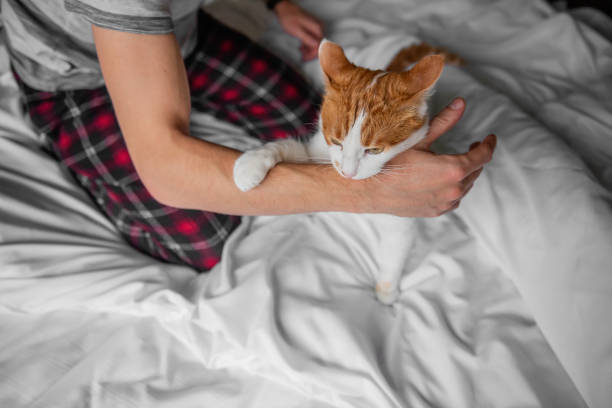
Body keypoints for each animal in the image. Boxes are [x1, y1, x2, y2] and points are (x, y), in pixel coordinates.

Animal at [232, 39, 456, 304]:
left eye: (375, 150)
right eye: (336, 141)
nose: (348, 173)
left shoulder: (403, 213)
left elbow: (395, 250)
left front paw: (387, 290)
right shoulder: (317, 154)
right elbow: (287, 147)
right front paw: (253, 162)